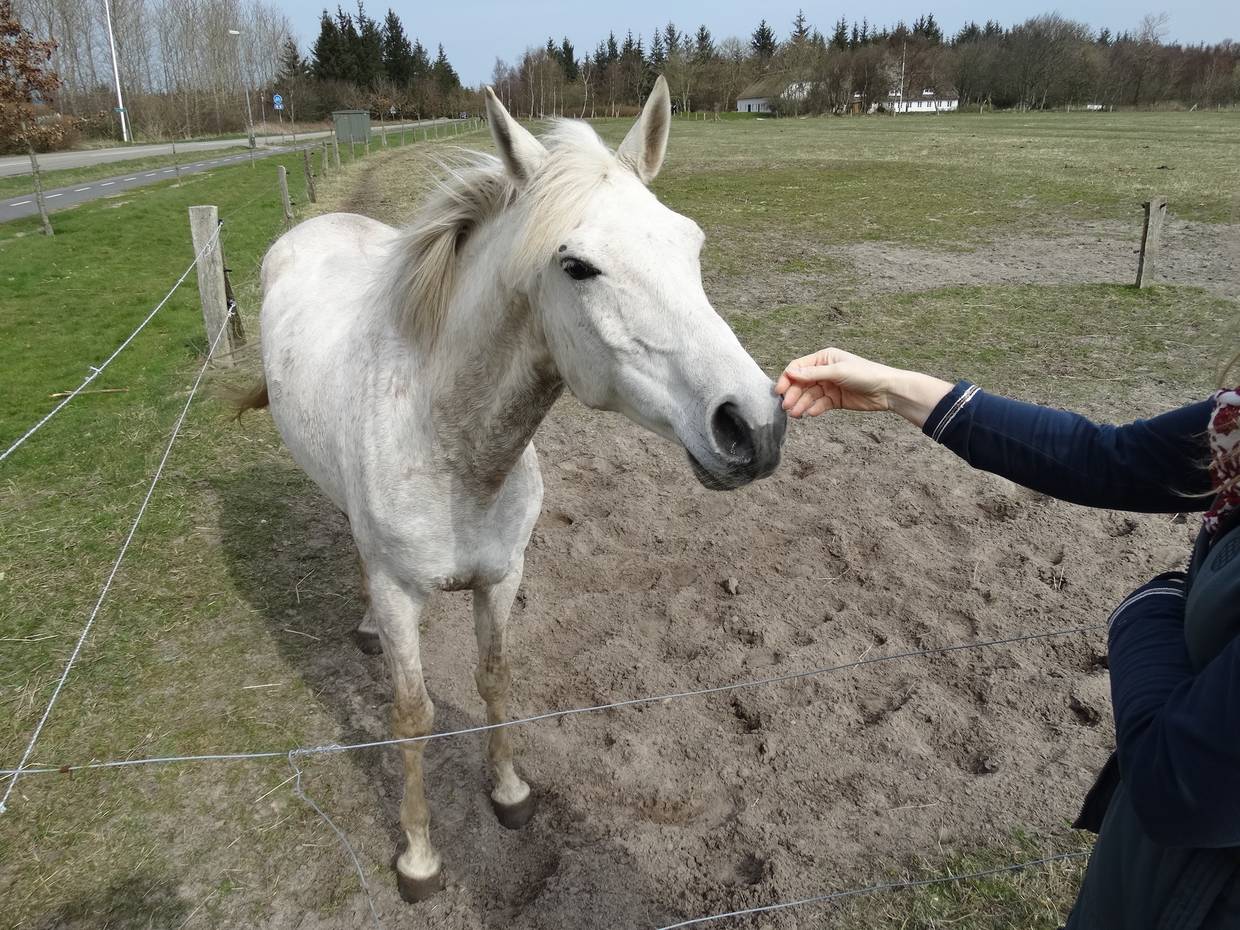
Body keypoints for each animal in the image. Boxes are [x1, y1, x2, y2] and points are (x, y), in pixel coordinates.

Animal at [236, 76, 786, 902]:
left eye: (690, 244)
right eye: (578, 266)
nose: (752, 425)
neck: (452, 446)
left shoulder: (502, 577)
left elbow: (495, 679)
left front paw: (509, 792)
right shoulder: (401, 594)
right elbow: (412, 714)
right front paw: (419, 858)